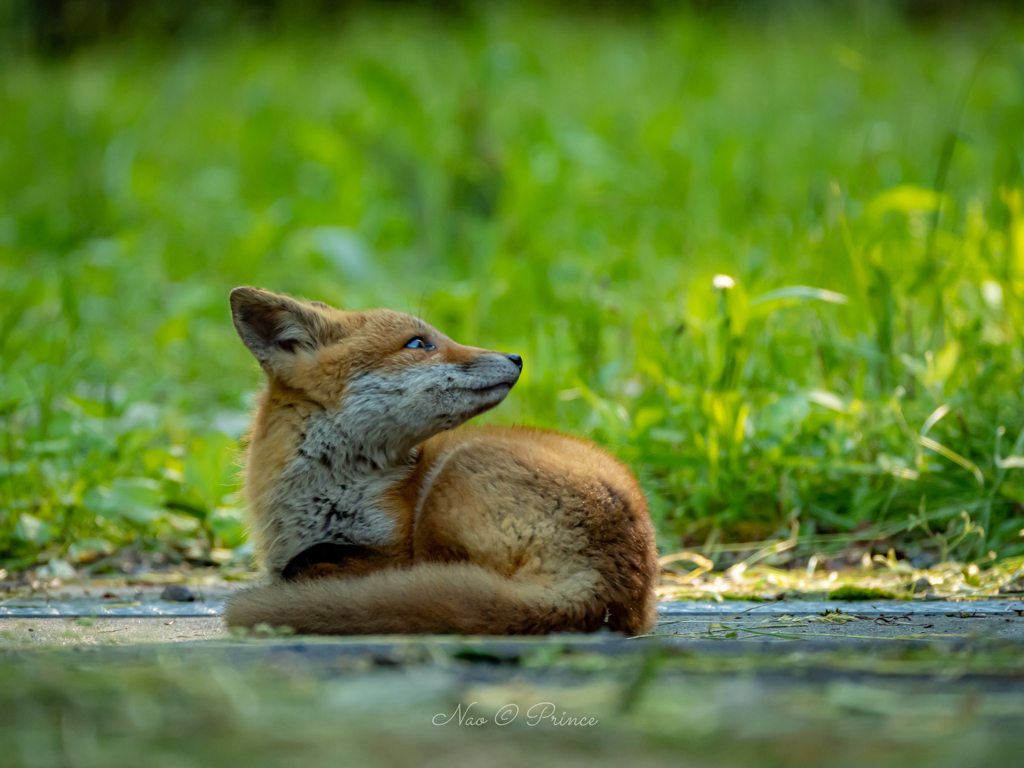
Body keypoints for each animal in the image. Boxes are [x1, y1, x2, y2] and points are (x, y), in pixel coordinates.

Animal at [222, 288, 655, 638]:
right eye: (418, 343)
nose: (516, 357)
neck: (322, 492)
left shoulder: (395, 548)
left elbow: (310, 564)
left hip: (448, 484)